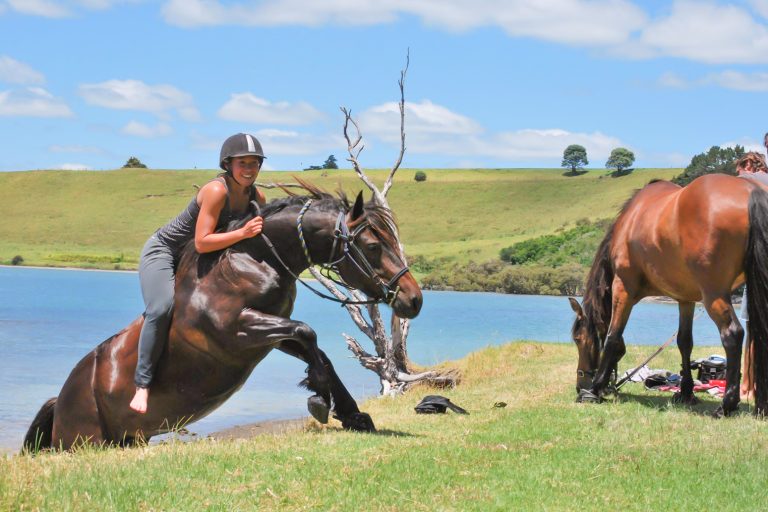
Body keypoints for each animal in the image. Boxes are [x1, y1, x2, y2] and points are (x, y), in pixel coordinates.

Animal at [23, 185, 422, 452]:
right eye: (373, 246)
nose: (414, 300)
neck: (256, 259)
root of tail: (61, 398)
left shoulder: (272, 331)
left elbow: (315, 348)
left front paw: (353, 415)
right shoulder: (238, 331)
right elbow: (308, 334)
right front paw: (321, 401)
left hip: (125, 440)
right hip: (83, 439)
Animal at [568, 170, 768, 417]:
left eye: (578, 339)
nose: (580, 385)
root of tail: (750, 190)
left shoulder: (622, 287)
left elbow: (613, 337)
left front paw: (595, 389)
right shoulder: (686, 299)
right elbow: (684, 342)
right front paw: (686, 392)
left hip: (714, 294)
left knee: (732, 334)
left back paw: (727, 404)